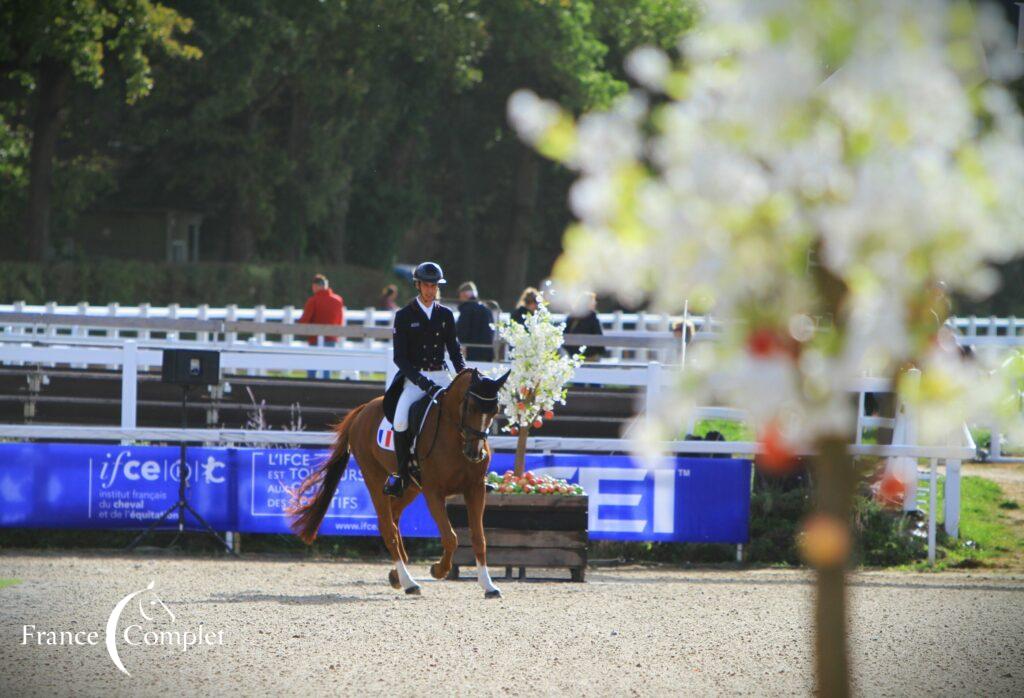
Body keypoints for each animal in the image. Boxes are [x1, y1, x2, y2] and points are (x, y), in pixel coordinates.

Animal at [286, 366, 509, 593]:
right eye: (470, 407)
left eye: (494, 410)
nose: (475, 453)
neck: (455, 436)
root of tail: (363, 409)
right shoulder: (433, 492)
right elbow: (450, 538)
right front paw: (438, 570)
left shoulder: (475, 489)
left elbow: (479, 538)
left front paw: (488, 585)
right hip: (374, 477)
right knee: (388, 527)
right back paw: (408, 582)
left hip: (410, 487)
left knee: (392, 516)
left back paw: (396, 576)